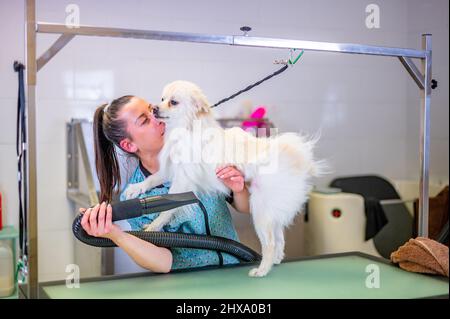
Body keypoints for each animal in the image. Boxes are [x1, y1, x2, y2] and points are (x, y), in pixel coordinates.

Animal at [125, 80, 326, 278]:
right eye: (162, 99)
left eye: (173, 102)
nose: (153, 108)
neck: (187, 129)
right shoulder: (173, 170)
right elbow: (153, 178)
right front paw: (136, 188)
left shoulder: (183, 179)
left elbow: (167, 210)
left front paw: (154, 226)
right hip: (270, 210)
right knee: (279, 238)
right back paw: (276, 259)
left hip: (260, 210)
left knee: (269, 243)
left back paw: (262, 270)